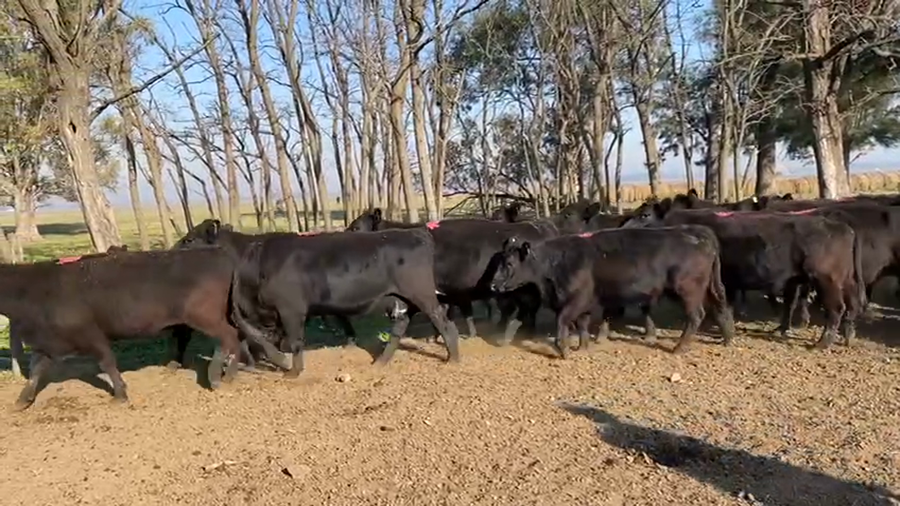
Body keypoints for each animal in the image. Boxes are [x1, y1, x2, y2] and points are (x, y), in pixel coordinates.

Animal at [2, 247, 263, 410]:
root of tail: (217, 252)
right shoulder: (48, 342)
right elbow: (36, 371)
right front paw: (22, 400)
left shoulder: (91, 334)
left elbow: (107, 362)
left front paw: (120, 394)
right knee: (237, 337)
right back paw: (229, 374)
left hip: (203, 316)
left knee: (228, 337)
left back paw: (215, 377)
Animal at [228, 229, 461, 377]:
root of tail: (416, 232)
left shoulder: (291, 310)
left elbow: (295, 341)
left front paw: (292, 371)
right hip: (401, 300)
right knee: (399, 328)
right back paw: (380, 362)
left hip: (422, 295)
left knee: (444, 323)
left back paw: (453, 359)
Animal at [489, 226, 735, 357]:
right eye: (500, 261)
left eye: (509, 263)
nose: (493, 285)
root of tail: (696, 230)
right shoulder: (585, 303)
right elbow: (582, 324)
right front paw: (582, 347)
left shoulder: (575, 300)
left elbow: (563, 321)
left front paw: (564, 349)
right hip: (708, 287)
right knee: (720, 306)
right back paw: (728, 338)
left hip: (687, 290)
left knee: (696, 316)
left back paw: (679, 348)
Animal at [622, 206, 866, 349]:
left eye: (644, 214)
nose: (622, 228)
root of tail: (843, 227)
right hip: (845, 280)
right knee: (851, 305)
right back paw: (848, 336)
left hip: (827, 280)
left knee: (836, 308)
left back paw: (822, 343)